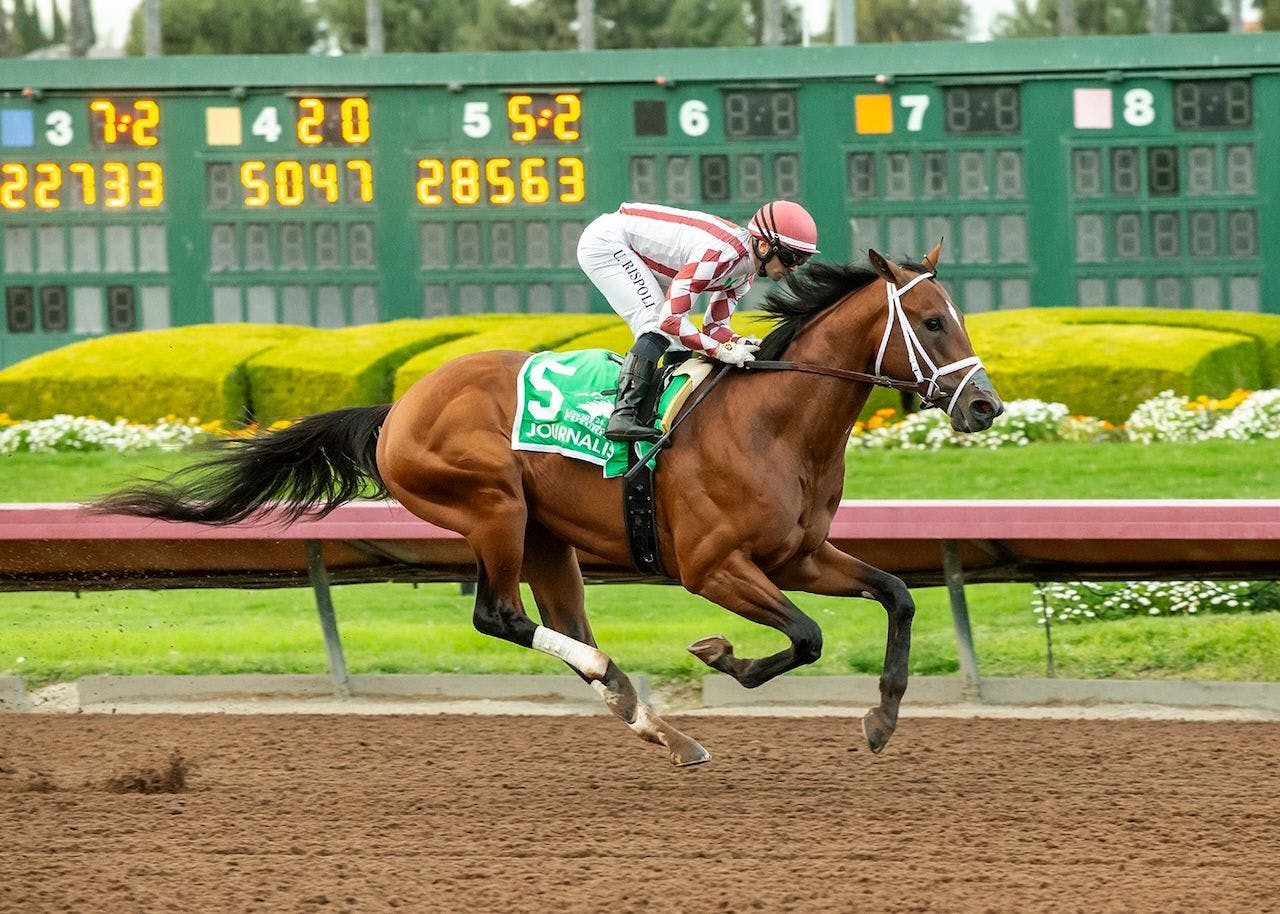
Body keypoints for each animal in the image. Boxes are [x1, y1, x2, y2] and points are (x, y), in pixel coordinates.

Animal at [94, 245, 1003, 762]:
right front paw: (722, 656)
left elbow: (897, 594)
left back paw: (657, 725)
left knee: (562, 624)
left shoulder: (800, 554)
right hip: (492, 506)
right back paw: (628, 692)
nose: (986, 407)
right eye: (931, 320)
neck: (774, 423)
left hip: (547, 539)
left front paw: (882, 716)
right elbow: (807, 637)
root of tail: (399, 408)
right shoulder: (713, 567)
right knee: (498, 615)